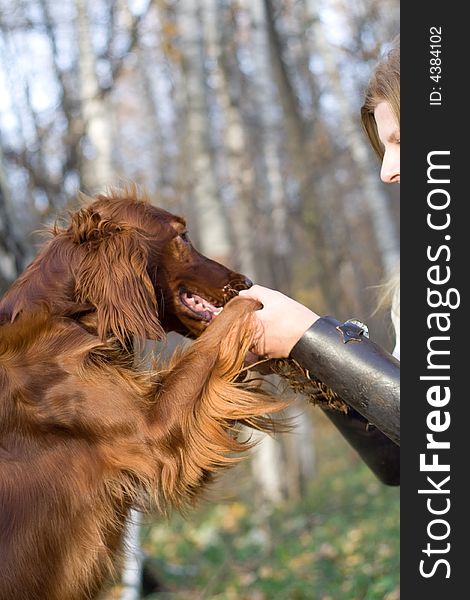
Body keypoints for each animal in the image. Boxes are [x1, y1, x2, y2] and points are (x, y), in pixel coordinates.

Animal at [0, 190, 286, 600]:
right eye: (183, 236)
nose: (246, 281)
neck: (68, 311)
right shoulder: (154, 429)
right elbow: (222, 328)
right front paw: (258, 306)